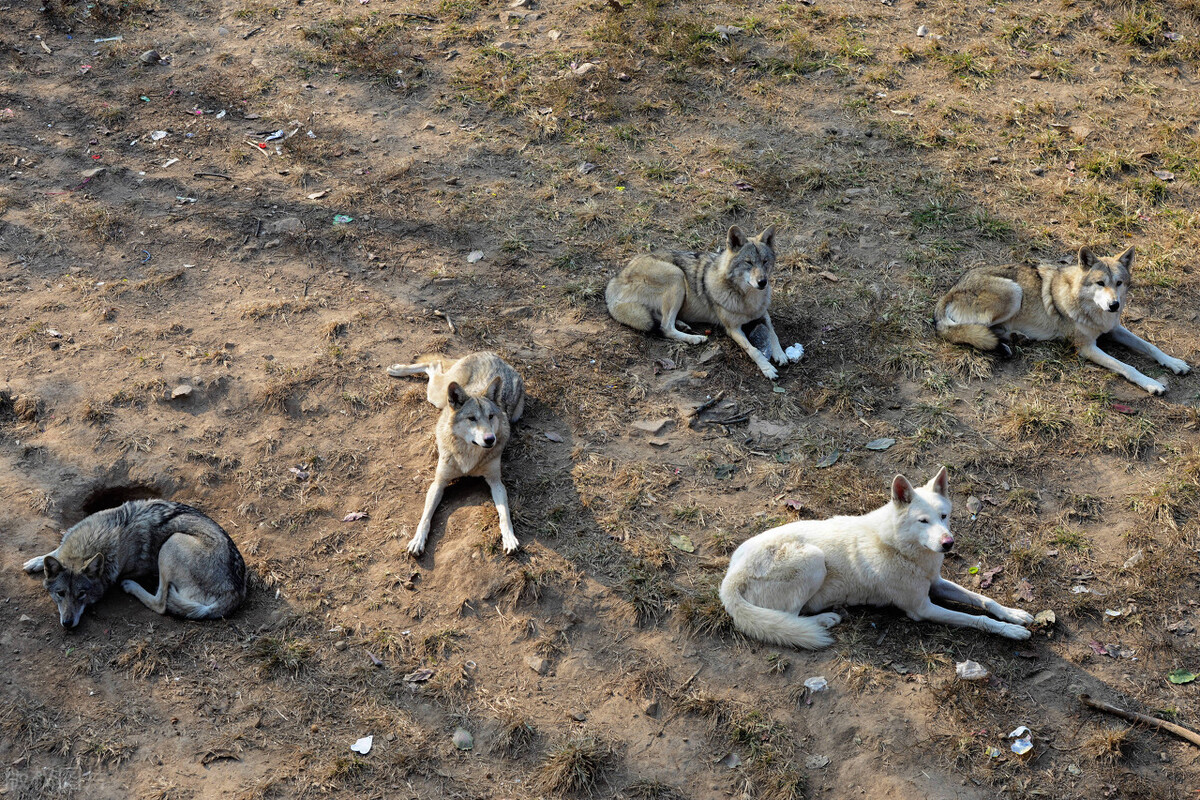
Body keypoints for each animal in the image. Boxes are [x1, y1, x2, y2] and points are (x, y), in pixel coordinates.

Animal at [24, 496, 246, 628]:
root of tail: (234, 592)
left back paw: (131, 586)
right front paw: (35, 562)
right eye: (60, 594)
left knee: (161, 603)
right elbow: (54, 551)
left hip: (170, 544)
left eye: (82, 595)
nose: (68, 623)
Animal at [386, 350, 523, 556]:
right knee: (434, 364)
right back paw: (396, 369)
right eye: (472, 419)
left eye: (491, 416)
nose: (490, 439)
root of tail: (493, 354)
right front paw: (417, 540)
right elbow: (425, 517)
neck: (469, 454)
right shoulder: (438, 482)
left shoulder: (496, 482)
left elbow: (504, 514)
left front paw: (509, 538)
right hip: (437, 396)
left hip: (516, 413)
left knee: (435, 364)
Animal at [604, 221, 792, 379]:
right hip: (677, 276)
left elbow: (773, 333)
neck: (748, 300)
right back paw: (695, 338)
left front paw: (780, 354)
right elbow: (753, 350)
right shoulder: (733, 328)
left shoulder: (762, 313)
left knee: (663, 320)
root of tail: (615, 280)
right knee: (665, 327)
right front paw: (767, 368)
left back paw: (683, 325)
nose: (762, 282)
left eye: (765, 261)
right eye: (749, 262)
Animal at [715, 470, 1036, 652]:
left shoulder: (936, 583)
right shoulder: (921, 609)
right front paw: (1010, 631)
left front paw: (1014, 615)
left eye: (944, 517)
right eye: (923, 521)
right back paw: (825, 620)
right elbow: (977, 619)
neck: (900, 548)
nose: (948, 543)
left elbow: (984, 600)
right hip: (814, 560)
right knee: (790, 617)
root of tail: (729, 582)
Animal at [936, 244, 1190, 393]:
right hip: (1013, 293)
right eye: (1100, 283)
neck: (1088, 307)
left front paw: (1174, 363)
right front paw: (1152, 383)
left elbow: (1150, 346)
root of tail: (948, 292)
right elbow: (1127, 366)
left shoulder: (1113, 328)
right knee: (968, 332)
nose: (1114, 305)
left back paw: (1016, 338)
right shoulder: (1086, 347)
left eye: (1119, 283)